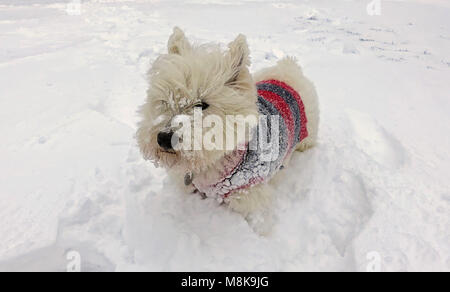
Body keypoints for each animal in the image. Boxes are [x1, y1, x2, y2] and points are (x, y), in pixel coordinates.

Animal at [135, 26, 318, 233]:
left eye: (202, 104)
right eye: (164, 101)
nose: (164, 138)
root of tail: (288, 68)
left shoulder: (251, 197)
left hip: (307, 135)